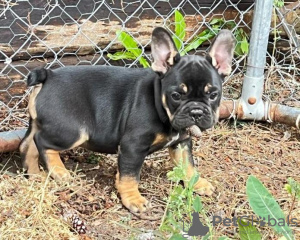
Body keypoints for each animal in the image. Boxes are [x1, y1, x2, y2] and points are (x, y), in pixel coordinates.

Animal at [20, 27, 237, 213]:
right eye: (176, 95)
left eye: (213, 95)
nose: (196, 111)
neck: (161, 106)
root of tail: (49, 75)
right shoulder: (133, 146)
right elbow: (130, 175)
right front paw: (133, 199)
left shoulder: (182, 143)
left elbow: (188, 165)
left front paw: (196, 183)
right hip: (72, 130)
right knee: (43, 143)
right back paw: (59, 171)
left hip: (43, 124)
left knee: (28, 145)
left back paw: (35, 175)